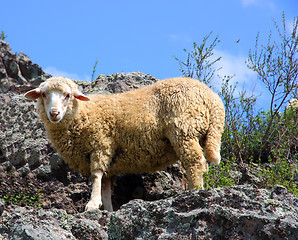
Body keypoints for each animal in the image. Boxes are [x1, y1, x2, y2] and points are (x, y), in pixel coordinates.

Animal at [24, 76, 225, 211]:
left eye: (67, 95)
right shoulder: (108, 160)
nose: (54, 114)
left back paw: (194, 192)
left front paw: (92, 204)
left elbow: (96, 175)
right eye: (43, 94)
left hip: (184, 129)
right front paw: (107, 209)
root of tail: (213, 99)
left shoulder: (101, 145)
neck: (82, 114)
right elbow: (106, 186)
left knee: (195, 162)